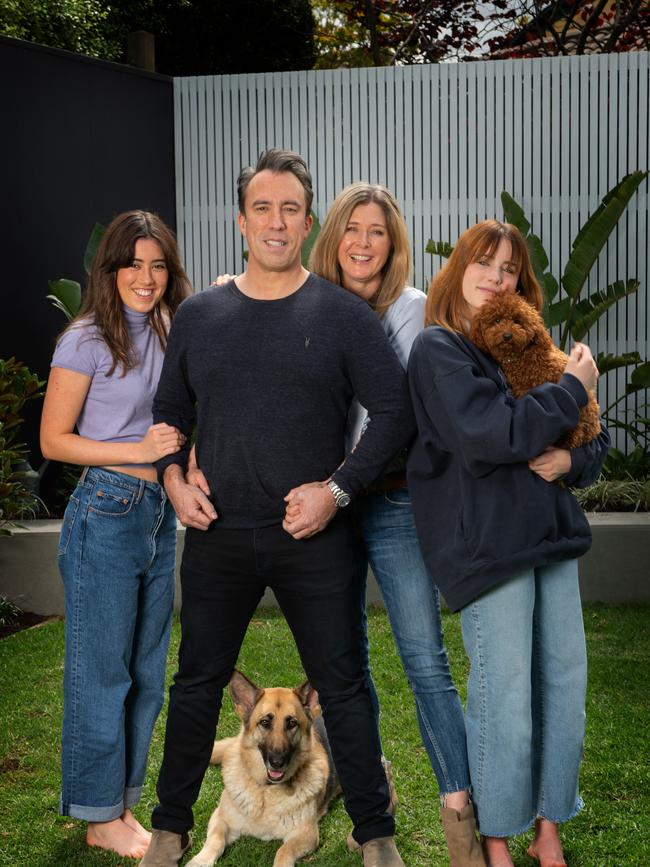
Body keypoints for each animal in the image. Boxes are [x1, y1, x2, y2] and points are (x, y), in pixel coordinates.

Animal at [185, 672, 340, 867]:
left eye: (292, 723)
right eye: (265, 722)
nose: (277, 762)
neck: (265, 790)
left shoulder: (306, 834)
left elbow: (283, 851)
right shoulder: (220, 818)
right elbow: (215, 840)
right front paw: (201, 860)